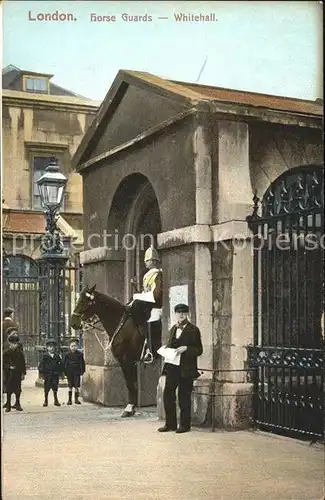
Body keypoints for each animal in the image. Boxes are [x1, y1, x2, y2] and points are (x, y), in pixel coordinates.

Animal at [70, 286, 159, 418]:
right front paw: (132, 408)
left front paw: (129, 408)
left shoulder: (126, 360)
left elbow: (130, 384)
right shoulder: (130, 362)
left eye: (85, 301)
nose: (73, 323)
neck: (121, 324)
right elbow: (133, 383)